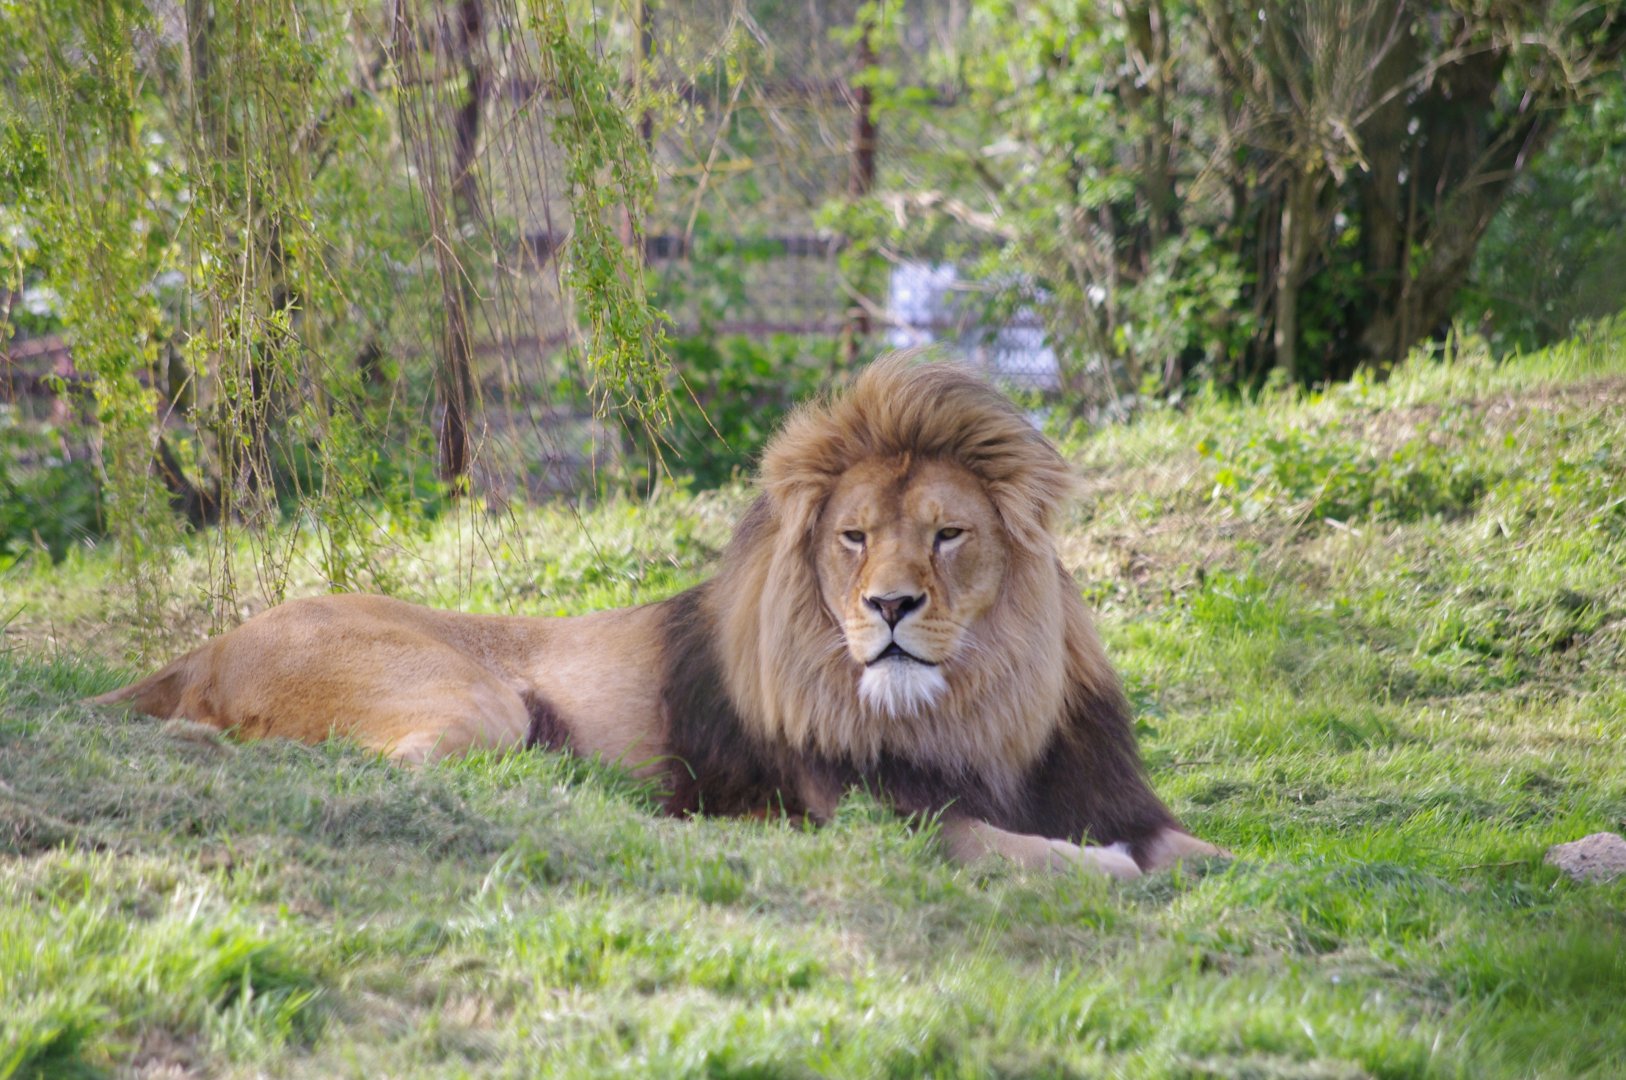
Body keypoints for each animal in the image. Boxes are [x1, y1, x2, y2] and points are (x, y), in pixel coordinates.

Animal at [93, 353, 1220, 878]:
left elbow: (1209, 853)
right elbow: (1021, 850)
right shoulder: (883, 816)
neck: (979, 706)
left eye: (947, 535)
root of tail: (204, 646)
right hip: (476, 701)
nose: (891, 607)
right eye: (854, 538)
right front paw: (1101, 870)